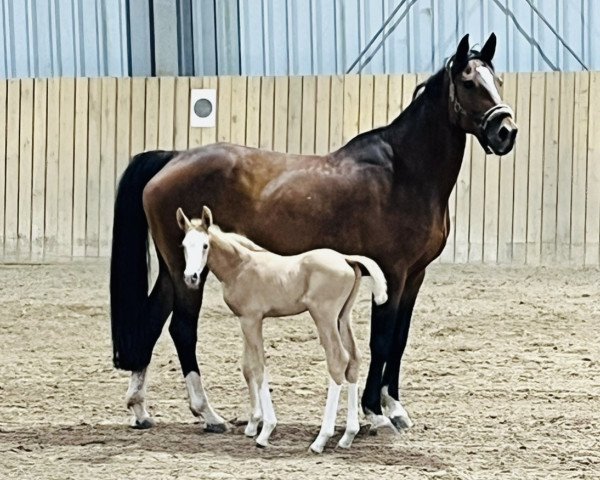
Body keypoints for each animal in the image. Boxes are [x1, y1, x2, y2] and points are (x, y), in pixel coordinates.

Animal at [176, 206, 386, 454]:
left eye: (205, 245)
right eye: (184, 246)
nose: (191, 278)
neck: (240, 266)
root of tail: (346, 258)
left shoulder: (251, 319)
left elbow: (259, 367)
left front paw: (265, 431)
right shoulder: (245, 320)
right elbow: (248, 367)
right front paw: (253, 424)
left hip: (324, 316)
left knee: (338, 361)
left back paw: (321, 440)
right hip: (343, 317)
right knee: (354, 359)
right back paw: (348, 436)